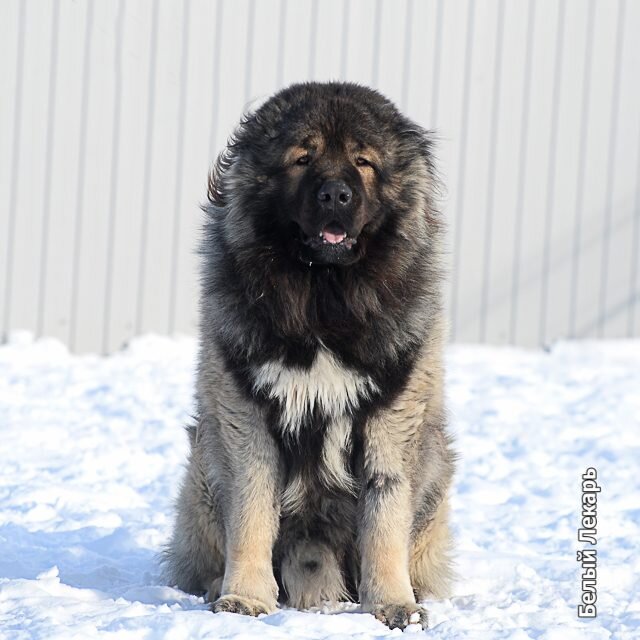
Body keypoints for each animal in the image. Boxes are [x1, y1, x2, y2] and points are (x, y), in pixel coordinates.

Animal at [165, 80, 456, 632]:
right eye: (302, 159)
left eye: (364, 162)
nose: (336, 194)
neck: (323, 297)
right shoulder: (245, 416)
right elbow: (252, 514)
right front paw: (244, 598)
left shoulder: (392, 419)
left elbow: (384, 519)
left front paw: (394, 605)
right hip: (203, 465)